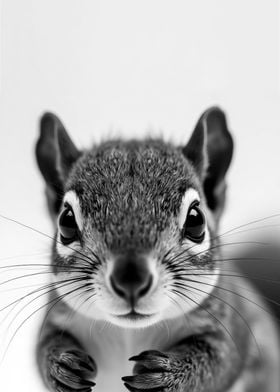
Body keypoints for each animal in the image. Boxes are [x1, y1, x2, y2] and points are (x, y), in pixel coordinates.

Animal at [35, 108, 280, 392]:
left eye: (196, 220)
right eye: (66, 222)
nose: (131, 279)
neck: (130, 332)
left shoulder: (232, 323)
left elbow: (221, 360)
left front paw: (168, 374)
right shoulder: (54, 315)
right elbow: (41, 347)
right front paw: (60, 365)